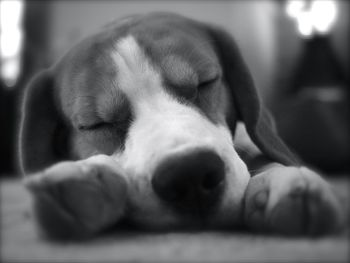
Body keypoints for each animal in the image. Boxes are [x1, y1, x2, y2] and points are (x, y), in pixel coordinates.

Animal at [18, 11, 342, 239]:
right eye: (96, 124)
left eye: (205, 82)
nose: (190, 173)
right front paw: (82, 175)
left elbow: (264, 157)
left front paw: (282, 179)